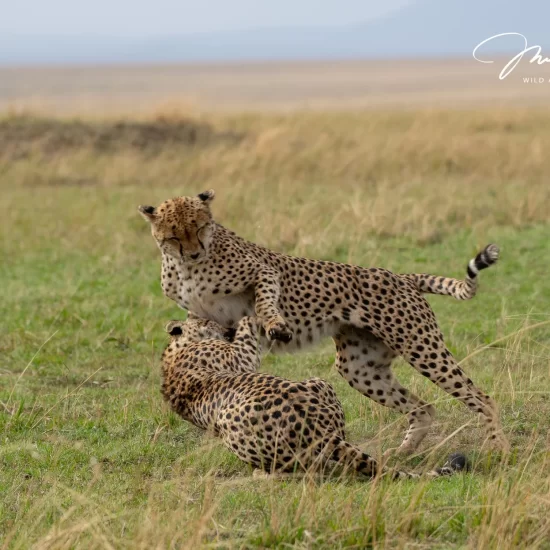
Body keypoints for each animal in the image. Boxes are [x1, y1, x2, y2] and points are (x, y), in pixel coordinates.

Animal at [140, 191, 512, 458]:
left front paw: (271, 324)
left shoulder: (263, 271)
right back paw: (404, 451)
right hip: (360, 368)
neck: (188, 268)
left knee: (482, 397)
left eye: (200, 226)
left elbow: (263, 302)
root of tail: (401, 276)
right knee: (423, 406)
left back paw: (498, 447)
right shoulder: (195, 311)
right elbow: (198, 329)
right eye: (174, 235)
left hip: (420, 346)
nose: (192, 252)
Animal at [161, 316, 466, 480]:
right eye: (205, 320)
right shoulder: (239, 358)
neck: (174, 352)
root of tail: (321, 433)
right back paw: (263, 473)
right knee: (306, 470)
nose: (227, 329)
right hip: (232, 421)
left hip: (320, 384)